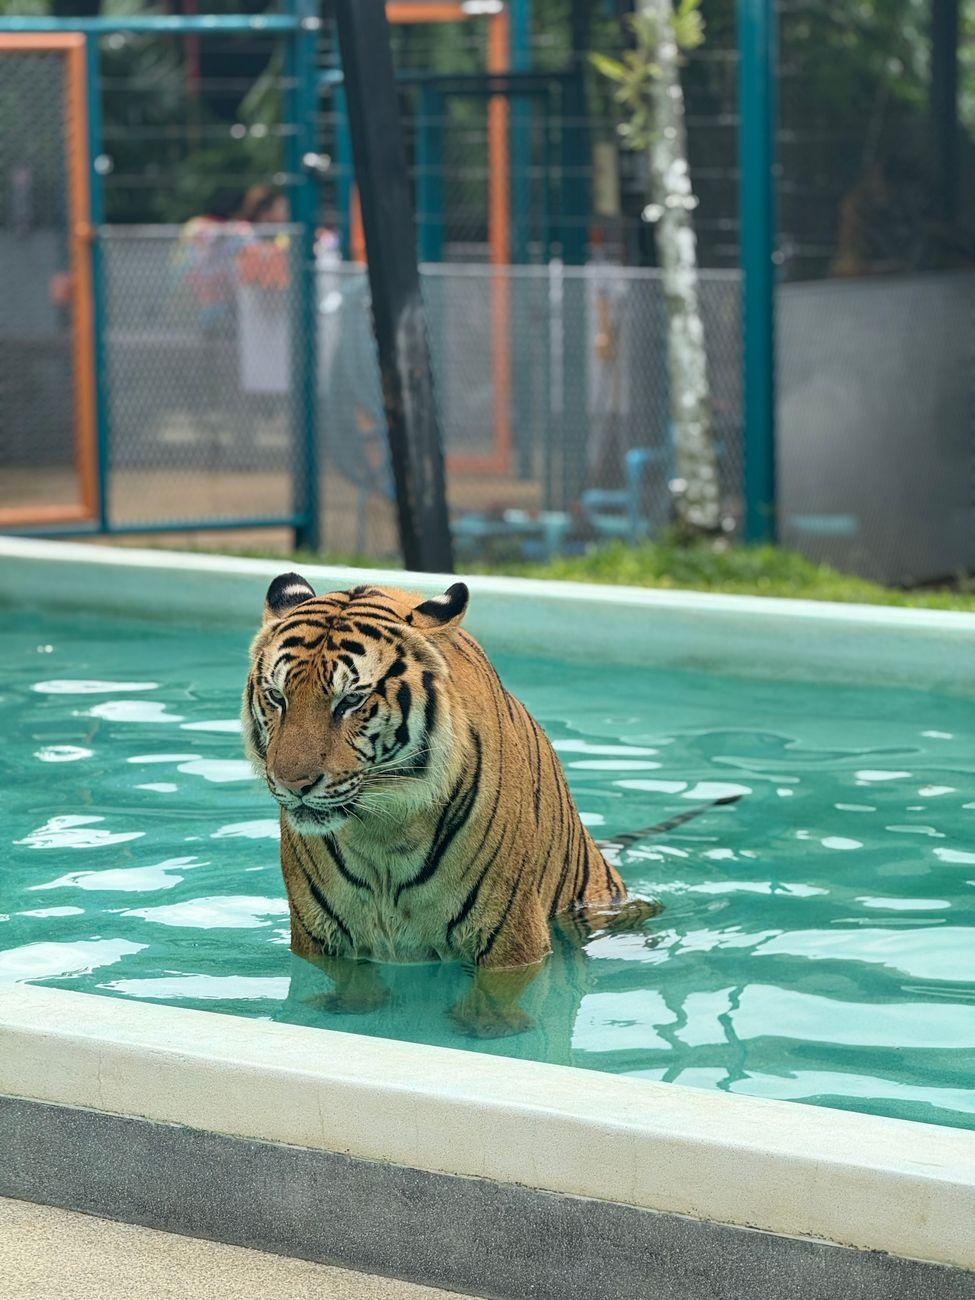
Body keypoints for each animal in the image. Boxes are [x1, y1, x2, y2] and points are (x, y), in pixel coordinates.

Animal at [243, 573, 684, 1036]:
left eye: (350, 700)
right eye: (277, 697)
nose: (293, 784)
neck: (383, 830)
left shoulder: (510, 933)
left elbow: (499, 994)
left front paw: (487, 1027)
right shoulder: (319, 934)